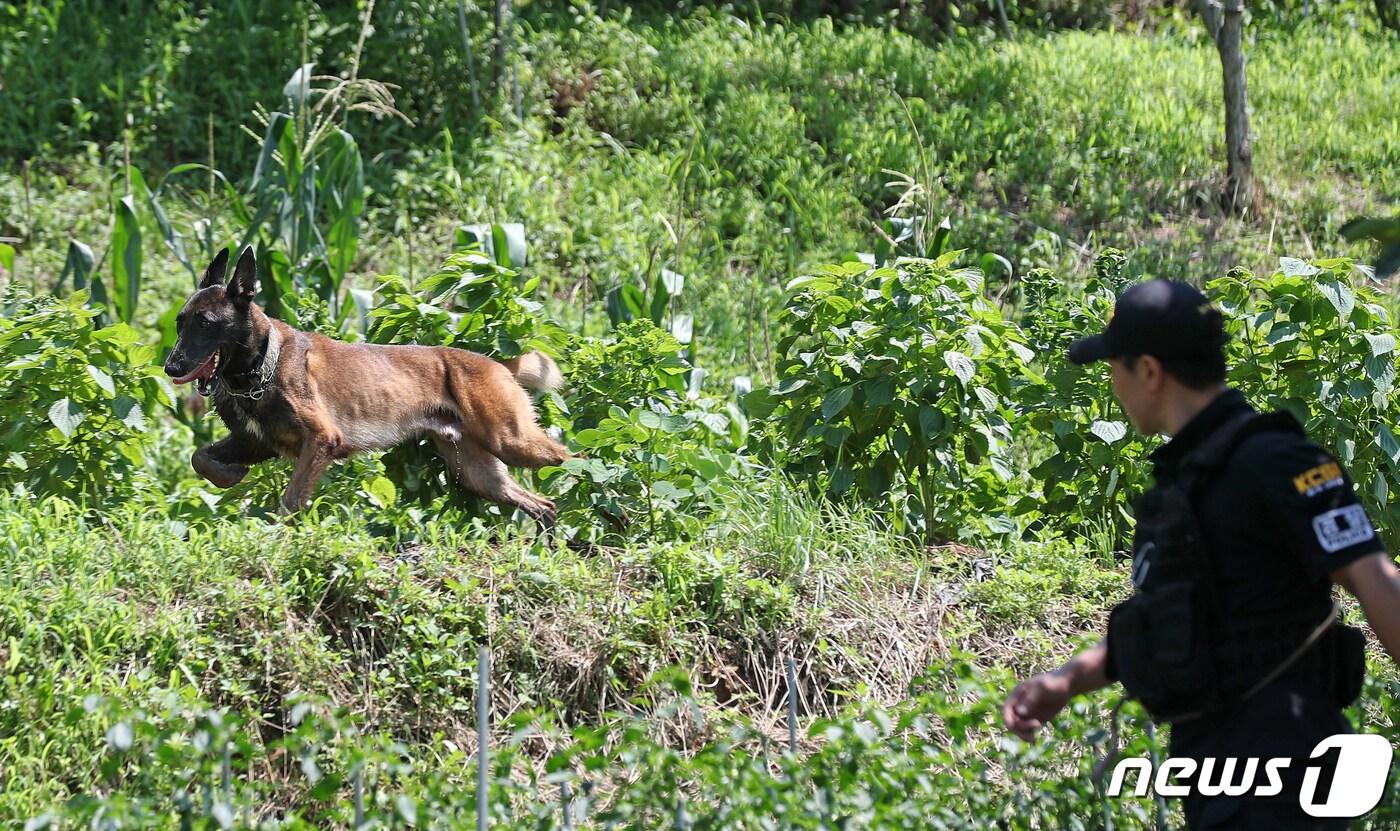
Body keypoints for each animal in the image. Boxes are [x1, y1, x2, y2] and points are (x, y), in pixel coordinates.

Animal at [157, 244, 562, 517]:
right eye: (180, 322)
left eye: (206, 323)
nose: (171, 368)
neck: (261, 366)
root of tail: (497, 364)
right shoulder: (256, 443)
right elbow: (199, 457)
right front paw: (229, 476)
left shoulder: (322, 440)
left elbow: (290, 501)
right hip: (477, 472)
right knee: (543, 505)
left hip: (511, 441)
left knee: (568, 458)